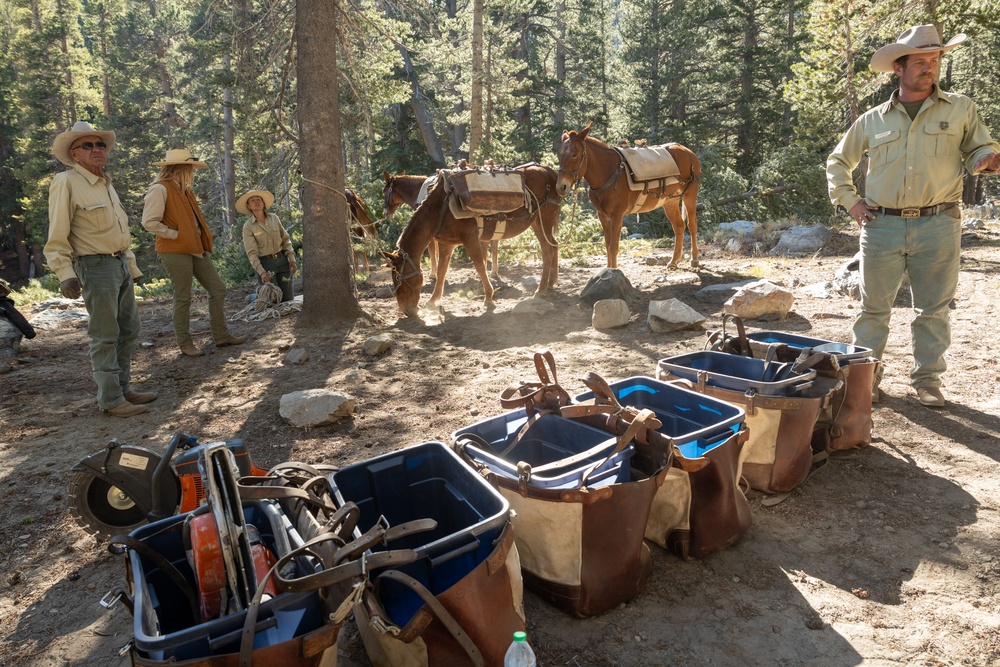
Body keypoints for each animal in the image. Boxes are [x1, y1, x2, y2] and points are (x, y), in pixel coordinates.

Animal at [380, 163, 560, 318]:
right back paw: (551, 283)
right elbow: (442, 271)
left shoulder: (470, 238)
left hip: (543, 220)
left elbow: (479, 265)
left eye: (399, 278)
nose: (406, 310)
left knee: (547, 249)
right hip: (537, 222)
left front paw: (489, 297)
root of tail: (549, 172)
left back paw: (541, 288)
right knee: (554, 245)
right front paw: (433, 300)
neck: (441, 207)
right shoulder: (446, 243)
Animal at [556, 124, 704, 270]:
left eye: (574, 154)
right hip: (670, 201)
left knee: (692, 225)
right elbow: (608, 245)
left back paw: (694, 259)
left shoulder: (617, 215)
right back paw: (673, 261)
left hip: (690, 195)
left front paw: (613, 271)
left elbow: (614, 247)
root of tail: (687, 151)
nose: (561, 186)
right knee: (679, 226)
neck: (609, 172)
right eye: (559, 155)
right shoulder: (603, 216)